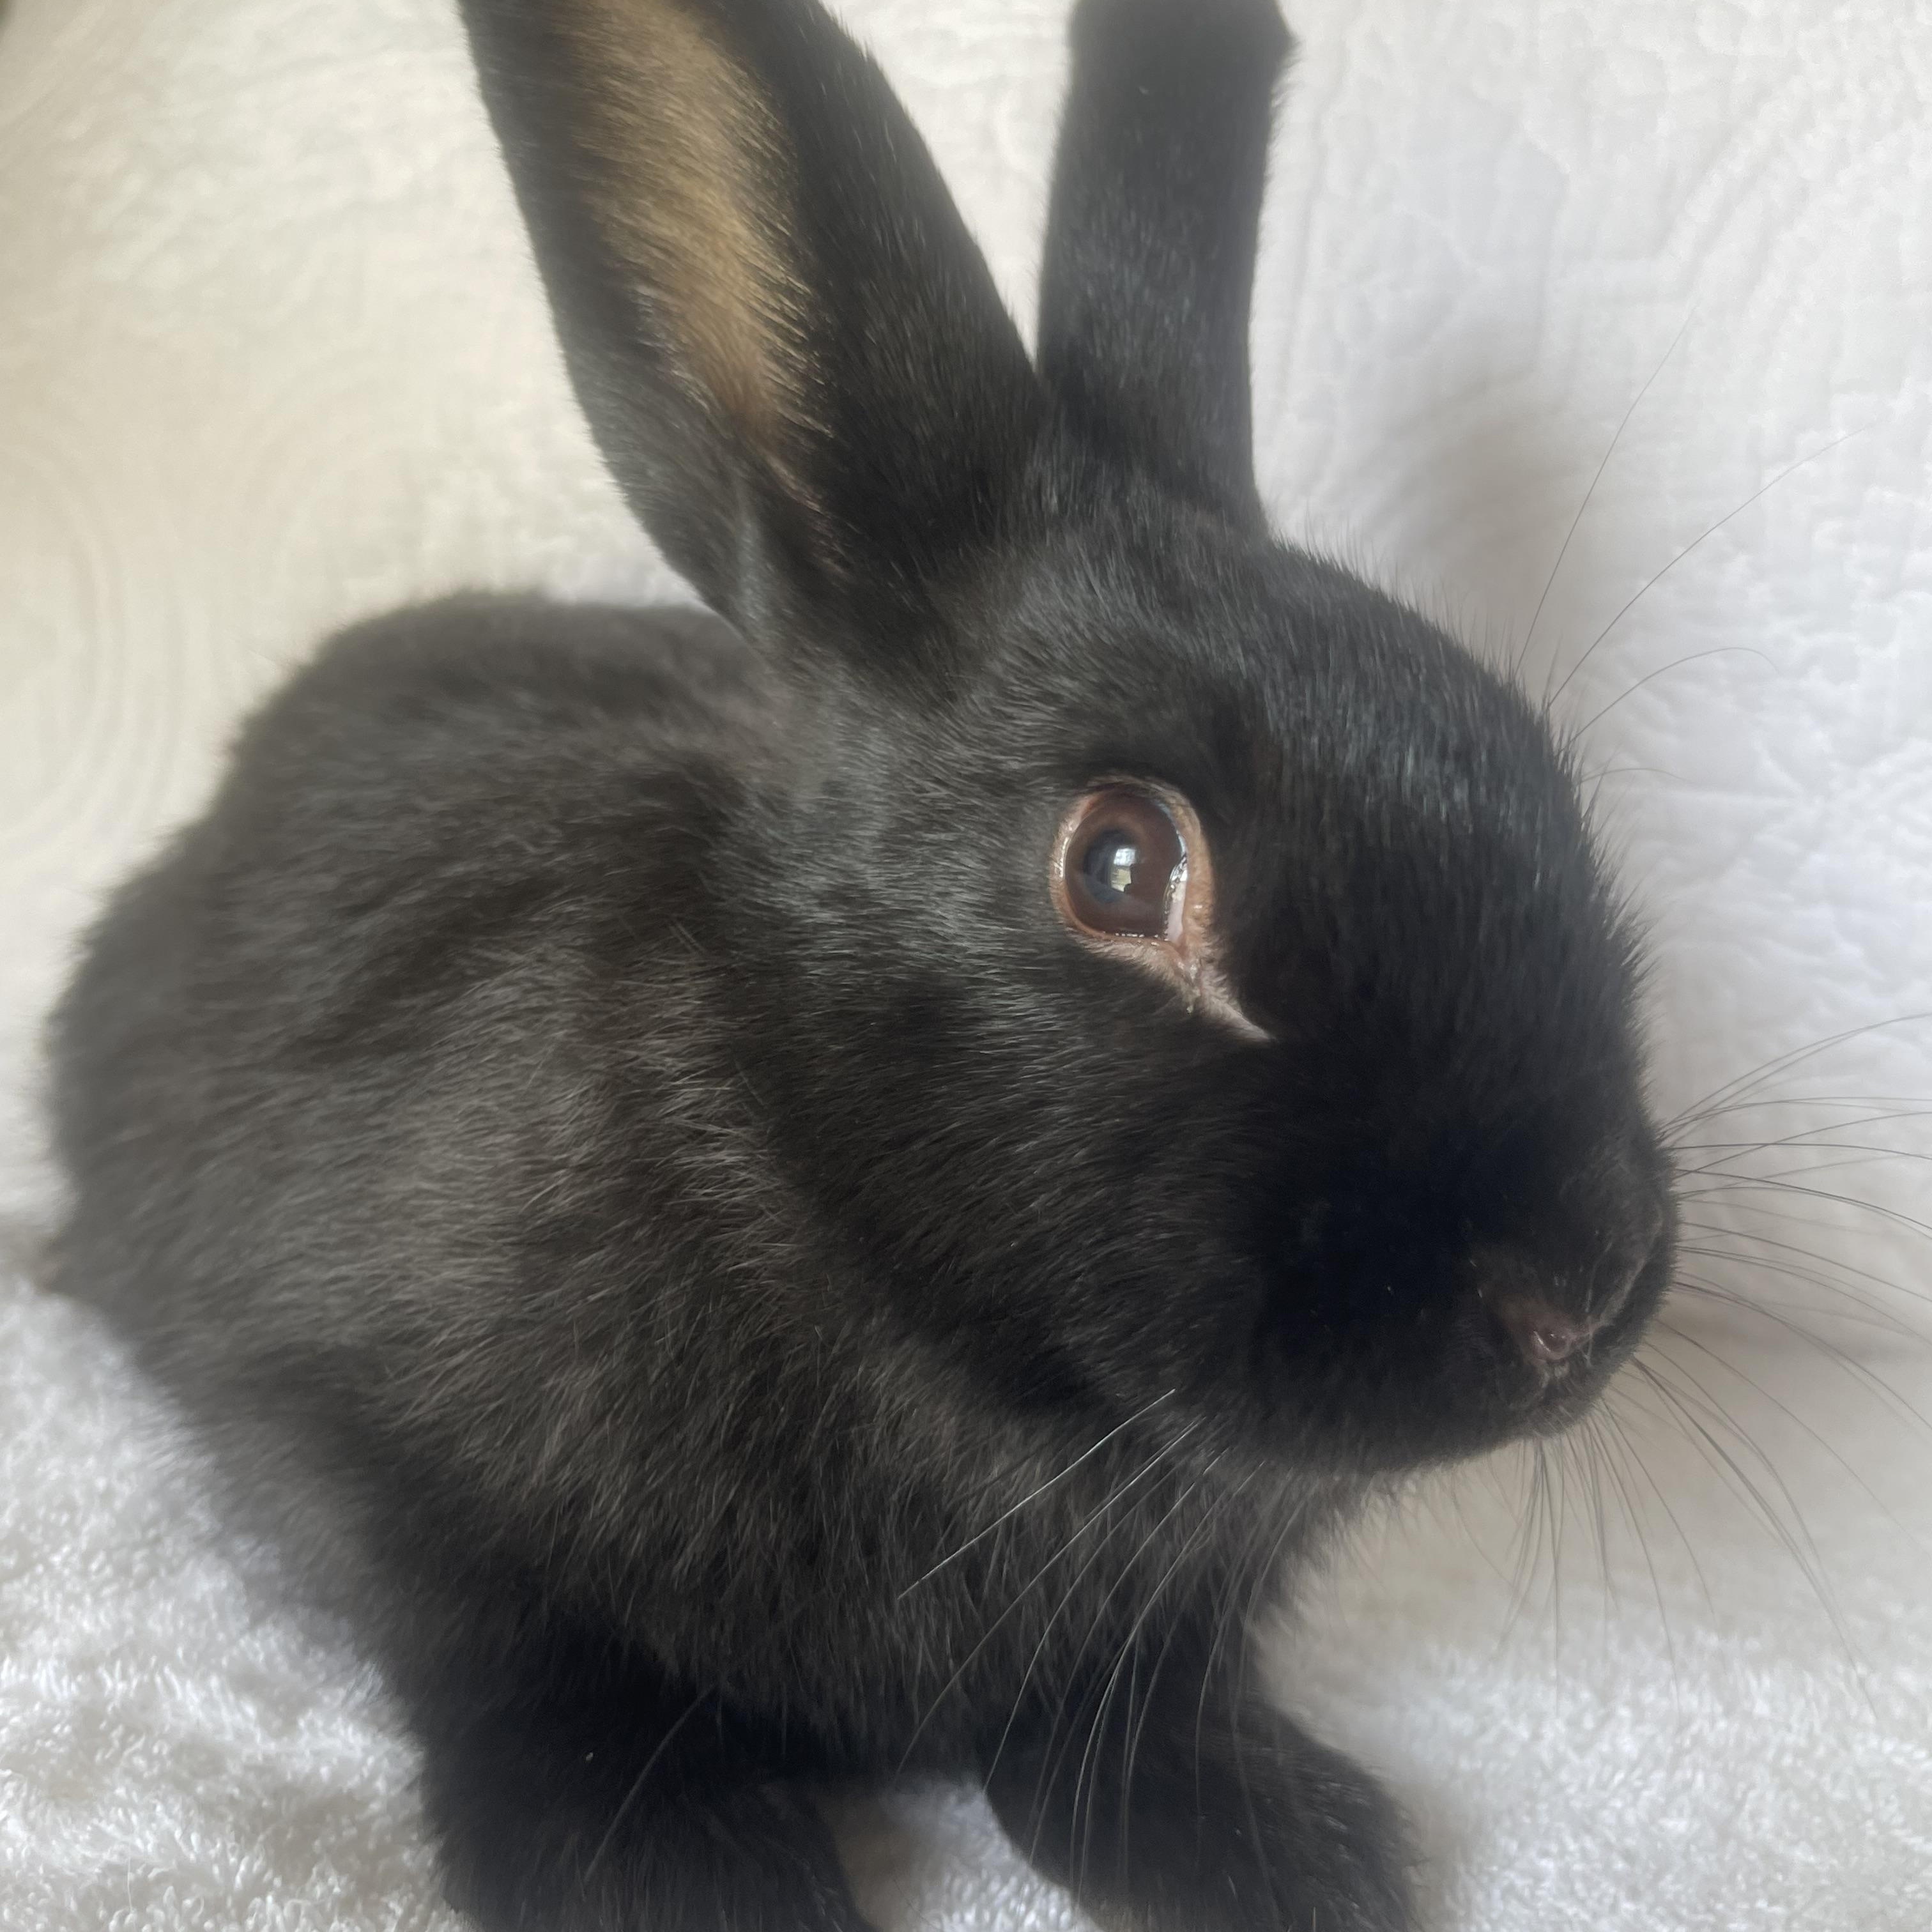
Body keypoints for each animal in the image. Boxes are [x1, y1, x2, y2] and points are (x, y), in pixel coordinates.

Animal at [44, 0, 1677, 1928]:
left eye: (1523, 749)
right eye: (1121, 867)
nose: (1576, 1291)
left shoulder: (1156, 1627)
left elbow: (1123, 1718)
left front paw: (1277, 1852)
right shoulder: (344, 1435)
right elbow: (517, 1660)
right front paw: (679, 1875)